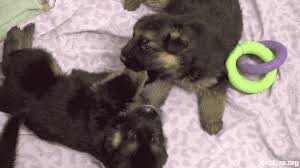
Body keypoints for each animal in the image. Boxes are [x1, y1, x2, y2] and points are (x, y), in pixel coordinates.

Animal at [120, 0, 243, 134]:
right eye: (132, 36)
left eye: (146, 46)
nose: (121, 57)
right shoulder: (162, 74)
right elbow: (152, 93)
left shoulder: (218, 77)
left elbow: (213, 98)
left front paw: (212, 121)